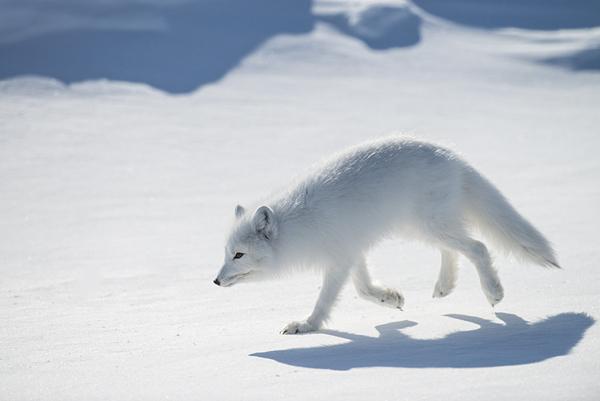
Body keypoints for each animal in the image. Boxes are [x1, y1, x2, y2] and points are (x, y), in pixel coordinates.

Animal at [213, 139, 560, 332]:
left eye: (239, 255)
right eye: (226, 253)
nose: (215, 281)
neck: (298, 224)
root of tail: (452, 155)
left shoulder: (339, 259)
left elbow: (326, 300)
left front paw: (308, 326)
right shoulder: (351, 252)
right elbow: (364, 289)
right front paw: (391, 300)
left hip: (428, 225)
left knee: (478, 247)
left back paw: (493, 292)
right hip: (420, 227)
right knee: (453, 250)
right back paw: (444, 286)